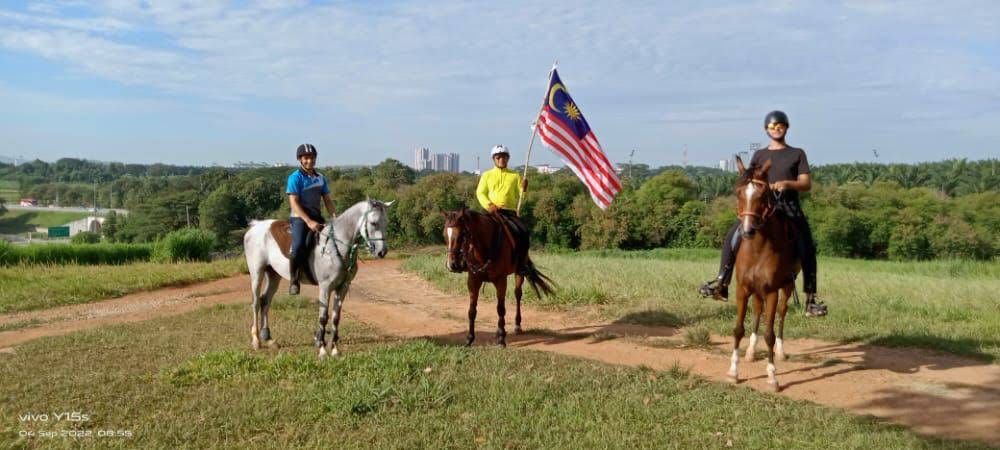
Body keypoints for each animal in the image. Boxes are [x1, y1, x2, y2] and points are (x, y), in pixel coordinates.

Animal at [244, 200, 392, 358]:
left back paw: (269, 340)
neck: (334, 246)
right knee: (255, 303)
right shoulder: (325, 287)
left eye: (386, 223)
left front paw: (334, 349)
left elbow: (336, 317)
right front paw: (322, 349)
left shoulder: (343, 287)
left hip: (273, 275)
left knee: (265, 301)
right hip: (257, 273)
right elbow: (323, 317)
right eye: (374, 223)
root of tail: (255, 226)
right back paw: (256, 340)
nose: (382, 252)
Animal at [444, 208, 556, 348]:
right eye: (445, 235)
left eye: (462, 235)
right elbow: (472, 311)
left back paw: (517, 326)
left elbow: (501, 309)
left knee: (518, 294)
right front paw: (469, 339)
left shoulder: (501, 281)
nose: (452, 265)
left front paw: (502, 339)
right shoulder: (473, 281)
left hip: (519, 272)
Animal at [728, 157, 796, 390]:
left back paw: (781, 351)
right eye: (738, 192)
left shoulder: (772, 291)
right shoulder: (742, 289)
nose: (747, 230)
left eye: (763, 193)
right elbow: (738, 329)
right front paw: (733, 371)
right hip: (756, 291)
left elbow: (769, 334)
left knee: (782, 313)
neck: (757, 248)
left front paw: (772, 376)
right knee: (757, 311)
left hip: (787, 287)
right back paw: (750, 351)